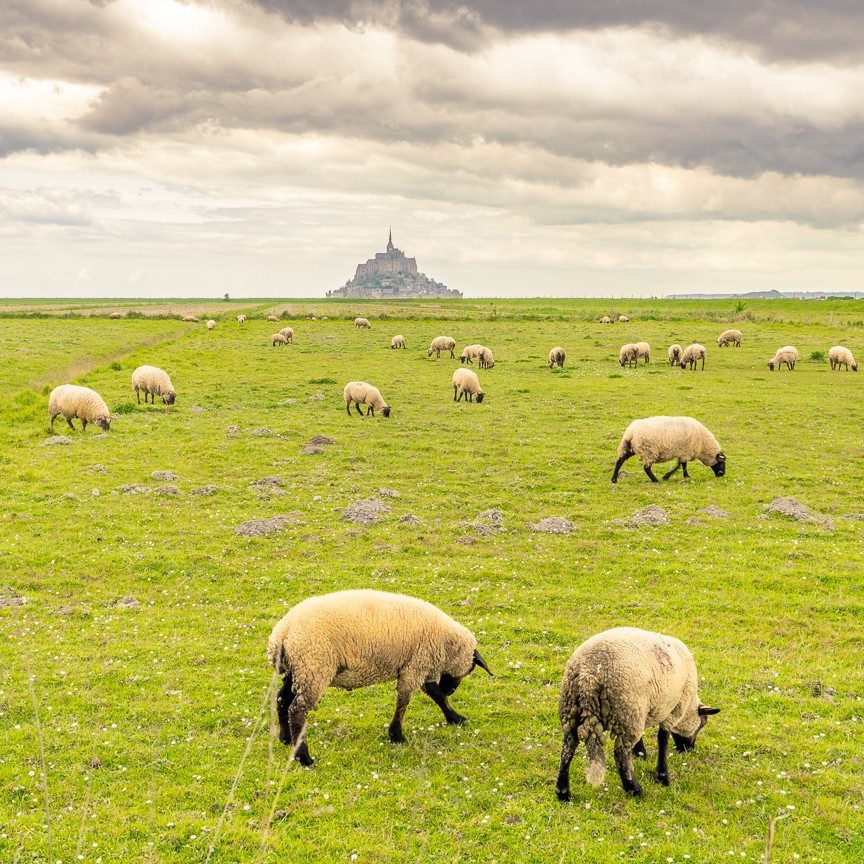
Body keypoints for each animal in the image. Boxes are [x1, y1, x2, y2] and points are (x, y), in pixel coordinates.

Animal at [267, 589, 492, 766]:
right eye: (470, 668)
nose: (450, 690)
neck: (446, 644)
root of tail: (282, 633)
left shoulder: (420, 666)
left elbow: (436, 696)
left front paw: (455, 717)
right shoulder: (415, 667)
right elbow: (403, 702)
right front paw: (396, 735)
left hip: (297, 670)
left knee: (281, 698)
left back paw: (285, 738)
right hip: (314, 668)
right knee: (297, 711)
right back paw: (304, 758)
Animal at [555, 627, 719, 799]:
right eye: (702, 724)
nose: (688, 749)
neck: (688, 706)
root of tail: (589, 675)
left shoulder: (643, 709)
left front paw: (640, 753)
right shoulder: (672, 711)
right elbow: (663, 739)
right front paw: (662, 776)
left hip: (573, 708)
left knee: (568, 747)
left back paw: (563, 792)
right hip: (626, 706)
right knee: (620, 753)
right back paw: (634, 789)